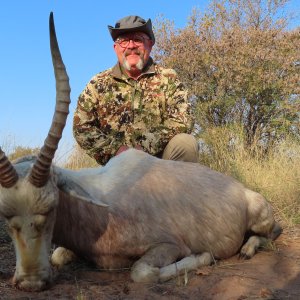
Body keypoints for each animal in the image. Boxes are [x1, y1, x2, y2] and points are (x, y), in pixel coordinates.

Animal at [0, 12, 282, 290]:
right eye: (5, 215)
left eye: (51, 208)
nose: (31, 282)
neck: (101, 207)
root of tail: (242, 189)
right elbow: (58, 256)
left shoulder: (169, 246)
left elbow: (141, 272)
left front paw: (203, 256)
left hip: (261, 218)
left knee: (271, 234)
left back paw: (246, 249)